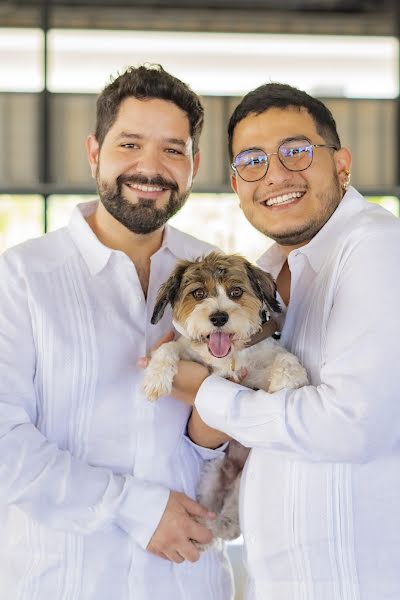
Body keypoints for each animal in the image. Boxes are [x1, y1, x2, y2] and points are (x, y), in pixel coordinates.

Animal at [142, 251, 308, 548]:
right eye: (198, 293)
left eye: (236, 292)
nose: (218, 317)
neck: (228, 357)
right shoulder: (186, 351)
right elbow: (169, 347)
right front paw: (156, 377)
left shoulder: (261, 368)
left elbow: (285, 359)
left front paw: (287, 379)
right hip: (211, 475)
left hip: (241, 487)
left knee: (229, 524)